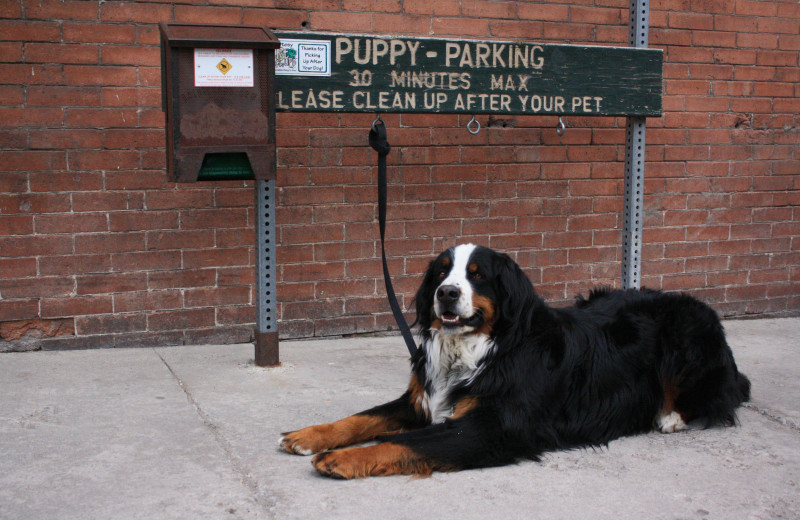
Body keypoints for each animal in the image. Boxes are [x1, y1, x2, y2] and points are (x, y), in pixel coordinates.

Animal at [280, 244, 752, 480]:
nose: (446, 293)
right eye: (441, 272)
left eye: (477, 275)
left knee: (722, 397)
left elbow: (410, 442)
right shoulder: (421, 400)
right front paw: (308, 435)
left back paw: (669, 416)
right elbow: (361, 419)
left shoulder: (494, 426)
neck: (481, 349)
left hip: (687, 331)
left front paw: (339, 460)